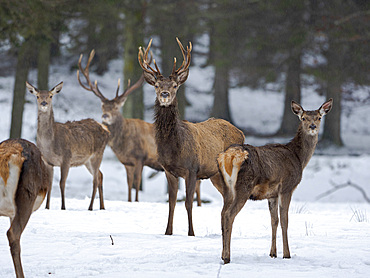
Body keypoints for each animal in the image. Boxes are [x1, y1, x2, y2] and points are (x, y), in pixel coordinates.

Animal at [26, 79, 109, 210]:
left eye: (50, 96)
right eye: (37, 96)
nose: (44, 103)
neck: (50, 144)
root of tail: (106, 130)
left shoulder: (66, 158)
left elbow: (62, 182)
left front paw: (63, 207)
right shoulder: (47, 162)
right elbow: (49, 184)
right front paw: (47, 207)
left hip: (97, 154)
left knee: (95, 180)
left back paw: (90, 207)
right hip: (87, 161)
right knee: (100, 175)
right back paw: (102, 207)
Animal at [137, 38, 244, 236]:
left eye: (175, 85)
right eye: (156, 85)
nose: (165, 95)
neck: (173, 148)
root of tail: (241, 132)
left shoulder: (192, 169)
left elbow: (188, 203)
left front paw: (191, 233)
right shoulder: (168, 170)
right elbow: (171, 202)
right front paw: (168, 232)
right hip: (216, 174)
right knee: (227, 198)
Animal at [217, 99, 332, 264]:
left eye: (319, 117)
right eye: (303, 118)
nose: (312, 127)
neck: (299, 158)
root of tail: (229, 156)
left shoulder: (272, 194)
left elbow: (274, 220)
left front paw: (272, 253)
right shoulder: (287, 187)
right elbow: (285, 220)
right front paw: (286, 254)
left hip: (226, 188)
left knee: (222, 214)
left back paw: (222, 254)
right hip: (244, 187)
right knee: (229, 215)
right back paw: (227, 256)